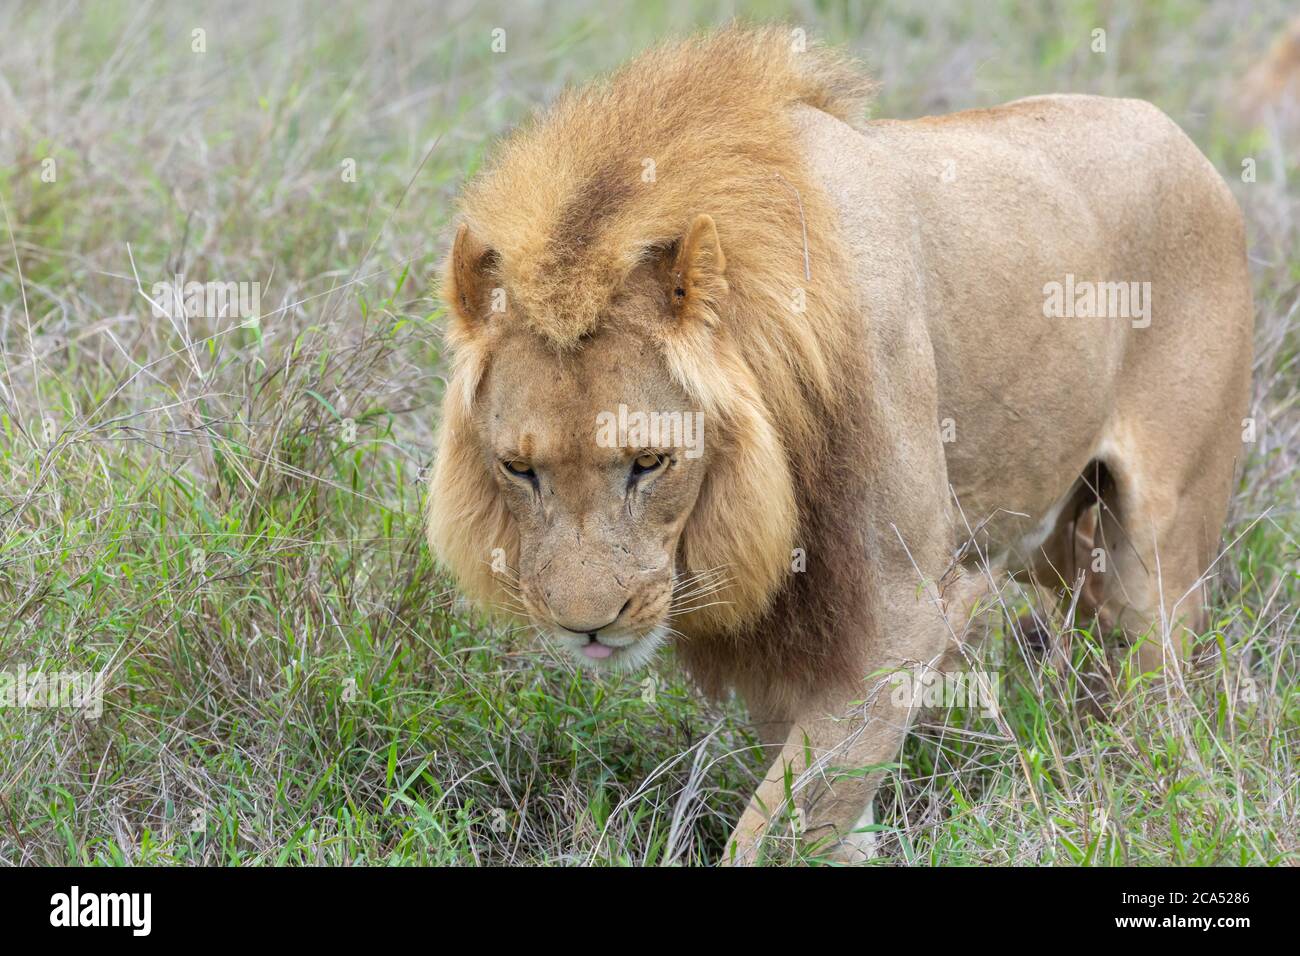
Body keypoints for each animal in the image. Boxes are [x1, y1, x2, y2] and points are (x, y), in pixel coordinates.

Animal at [431, 26, 1253, 863]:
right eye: (519, 468)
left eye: (650, 463)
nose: (586, 624)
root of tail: (1175, 131)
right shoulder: (789, 634)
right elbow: (825, 808)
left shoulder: (902, 610)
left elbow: (778, 827)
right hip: (1057, 532)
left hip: (1163, 539)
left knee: (1157, 686)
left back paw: (1153, 796)